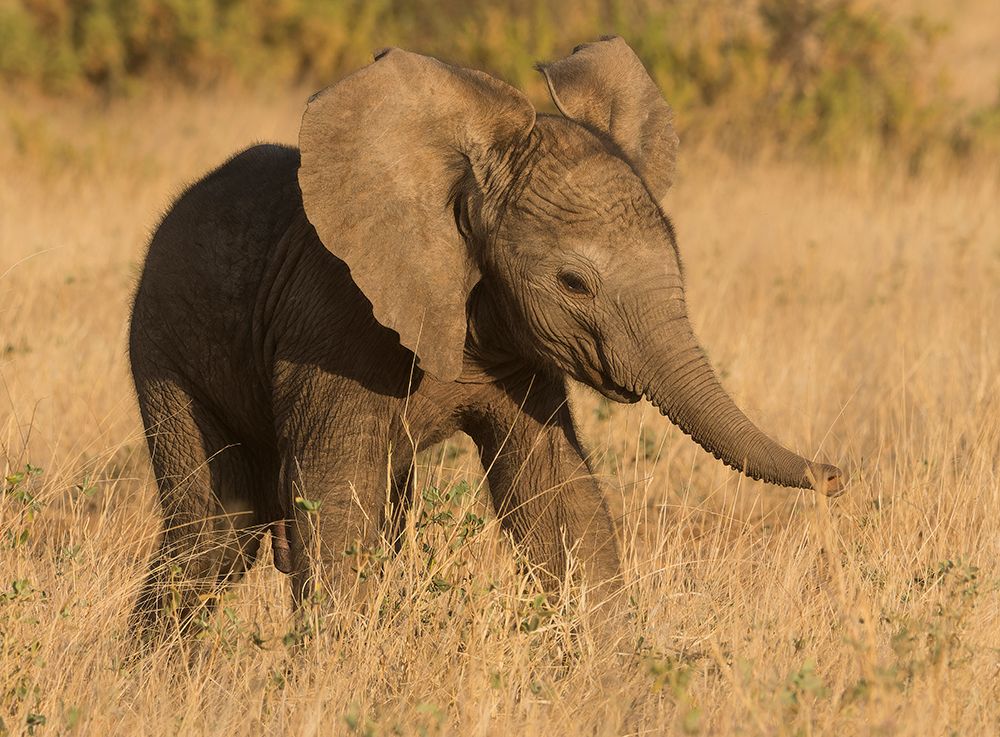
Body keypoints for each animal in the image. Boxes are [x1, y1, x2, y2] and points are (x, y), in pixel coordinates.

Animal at [127, 36, 843, 646]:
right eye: (574, 283)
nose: (838, 474)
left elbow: (559, 500)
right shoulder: (332, 321)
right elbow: (336, 501)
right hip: (163, 345)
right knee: (213, 530)